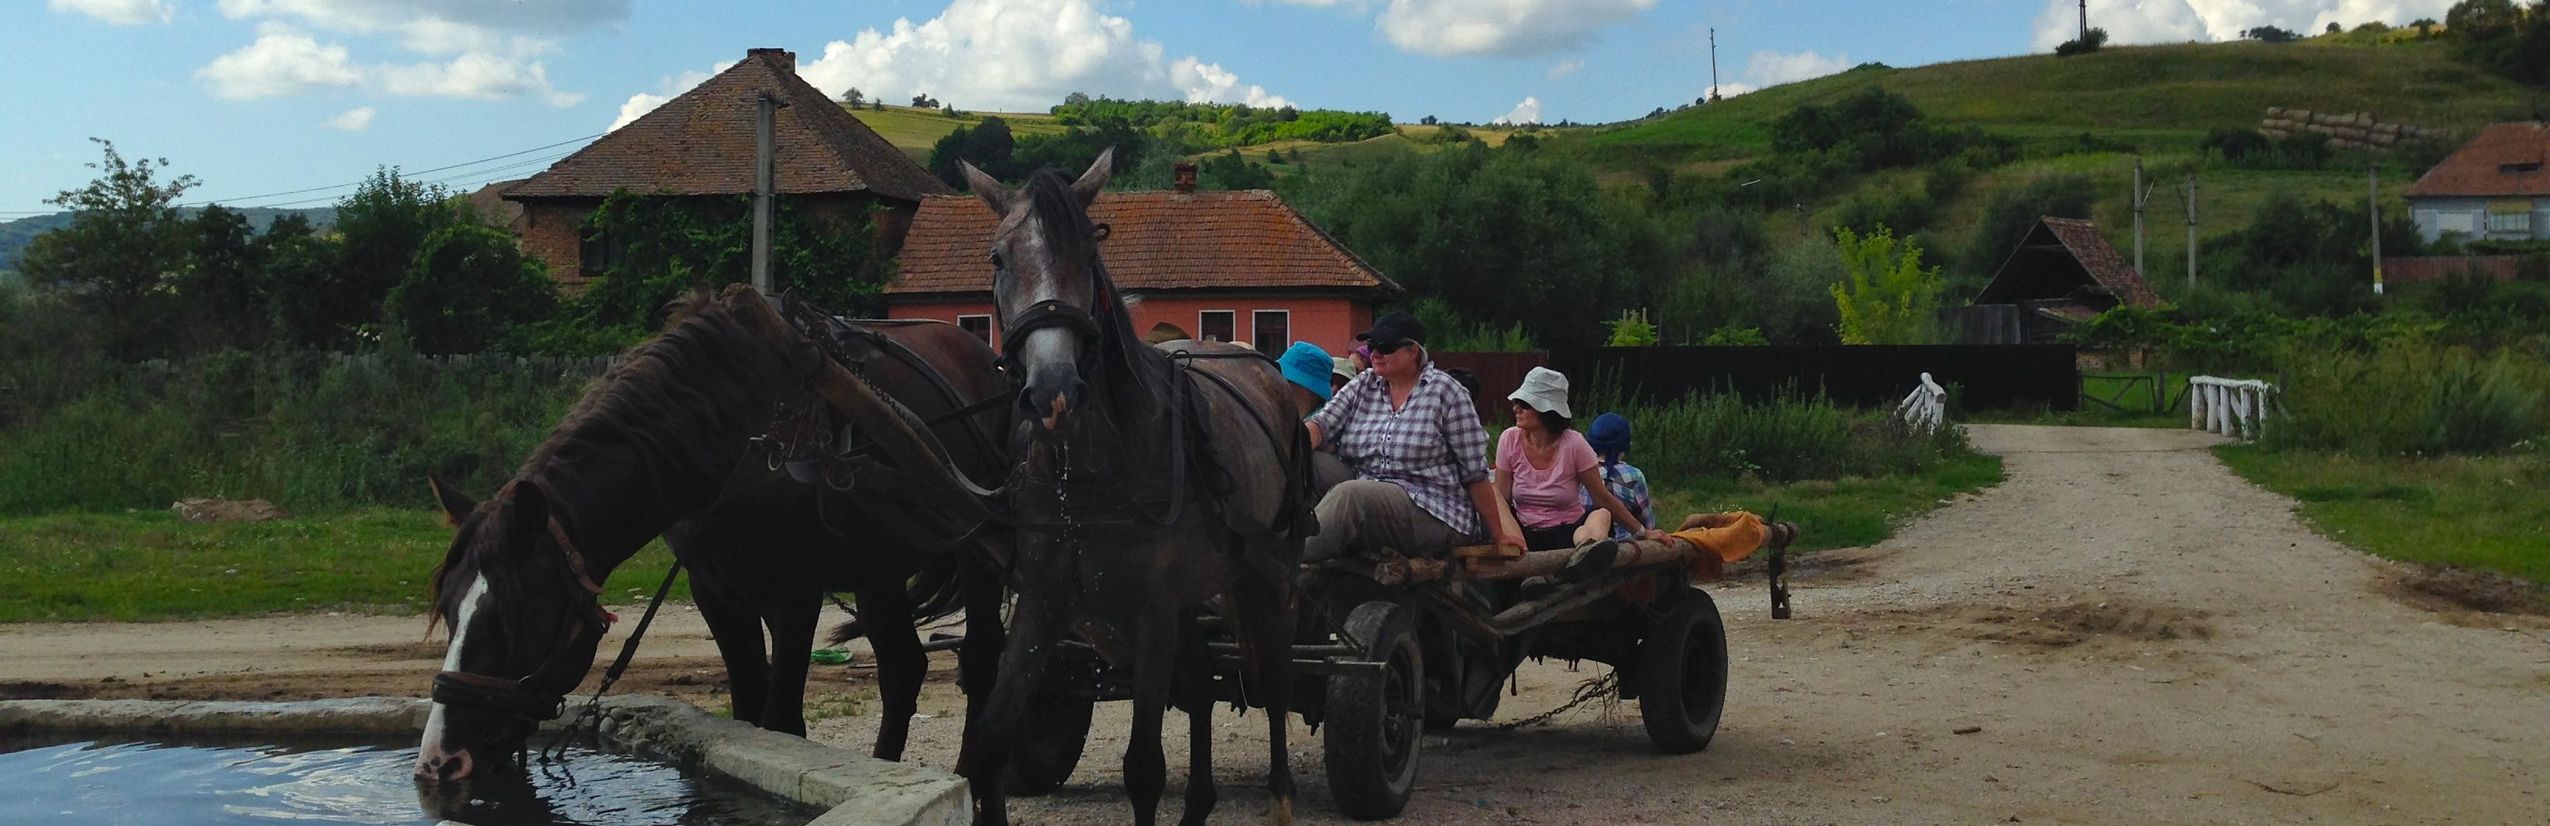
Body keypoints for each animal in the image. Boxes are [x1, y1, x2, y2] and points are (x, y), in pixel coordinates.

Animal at [418, 289, 1004, 780]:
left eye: (515, 617)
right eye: (447, 610)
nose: (441, 760)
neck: (742, 432)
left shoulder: (795, 592)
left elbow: (781, 722)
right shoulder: (716, 592)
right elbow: (746, 714)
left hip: (978, 552)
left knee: (980, 661)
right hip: (876, 567)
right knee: (904, 668)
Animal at [958, 151, 1315, 820]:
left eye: (1087, 254)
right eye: (997, 258)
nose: (1053, 394)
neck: (1091, 472)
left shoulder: (1151, 613)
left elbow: (1144, 768)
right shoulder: (1043, 604)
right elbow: (989, 741)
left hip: (1268, 575)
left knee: (1277, 681)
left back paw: (1281, 797)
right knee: (1200, 683)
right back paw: (1200, 801)